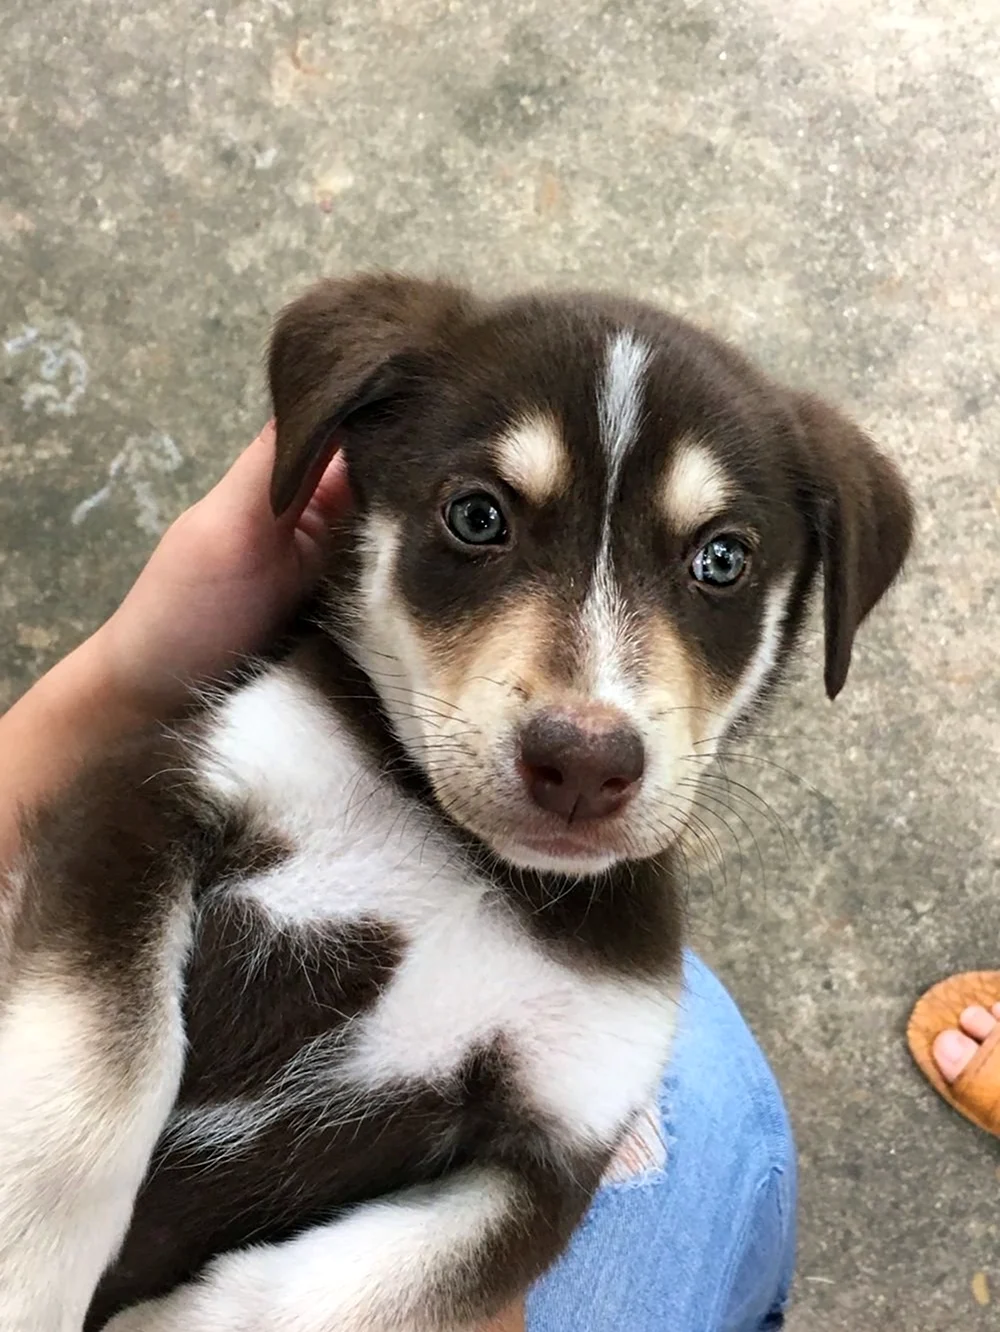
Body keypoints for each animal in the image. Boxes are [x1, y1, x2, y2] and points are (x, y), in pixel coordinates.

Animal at [0, 275, 916, 1332]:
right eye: (477, 517)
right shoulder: (148, 792)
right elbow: (92, 1072)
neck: (463, 855)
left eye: (722, 560)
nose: (583, 762)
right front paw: (24, 1275)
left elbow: (364, 1290)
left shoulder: (557, 1140)